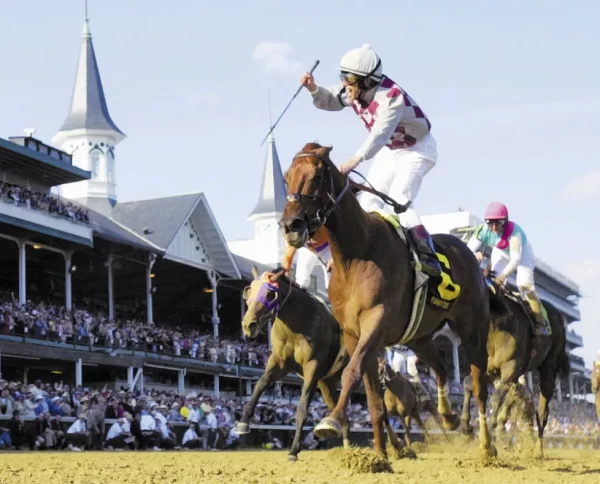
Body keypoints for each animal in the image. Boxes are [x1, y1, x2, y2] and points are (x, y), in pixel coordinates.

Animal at [278, 143, 494, 458]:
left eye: (317, 176)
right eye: (286, 177)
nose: (290, 225)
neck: (356, 255)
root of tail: (467, 251)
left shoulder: (376, 320)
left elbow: (351, 372)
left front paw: (331, 420)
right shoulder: (354, 333)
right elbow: (373, 400)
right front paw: (380, 456)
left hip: (472, 328)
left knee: (478, 385)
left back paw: (486, 445)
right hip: (419, 336)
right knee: (441, 368)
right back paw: (448, 416)